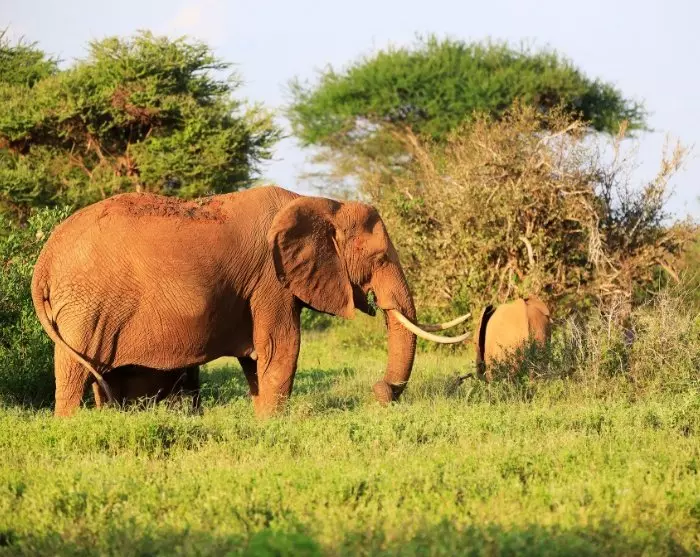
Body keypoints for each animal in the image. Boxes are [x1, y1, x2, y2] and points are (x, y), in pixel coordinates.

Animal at [32, 185, 470, 418]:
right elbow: (281, 347)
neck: (321, 203)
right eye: (379, 259)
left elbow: (258, 356)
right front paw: (275, 425)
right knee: (75, 371)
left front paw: (262, 421)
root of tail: (44, 261)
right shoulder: (270, 279)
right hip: (86, 305)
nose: (381, 393)